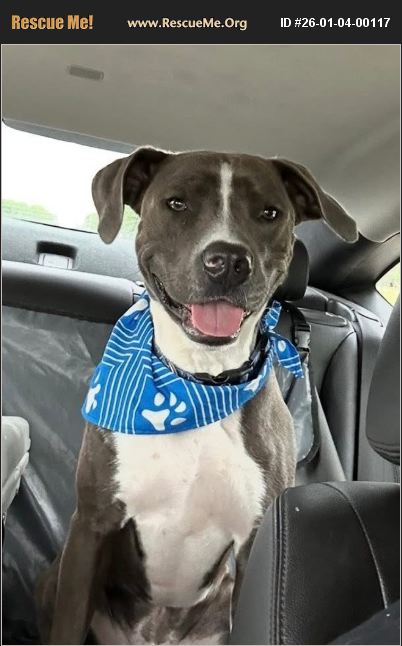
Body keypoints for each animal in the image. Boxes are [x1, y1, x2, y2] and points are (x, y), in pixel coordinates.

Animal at [36, 148, 357, 645]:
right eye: (176, 203)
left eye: (269, 213)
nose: (228, 260)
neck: (199, 380)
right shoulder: (92, 523)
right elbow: (68, 624)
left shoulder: (256, 543)